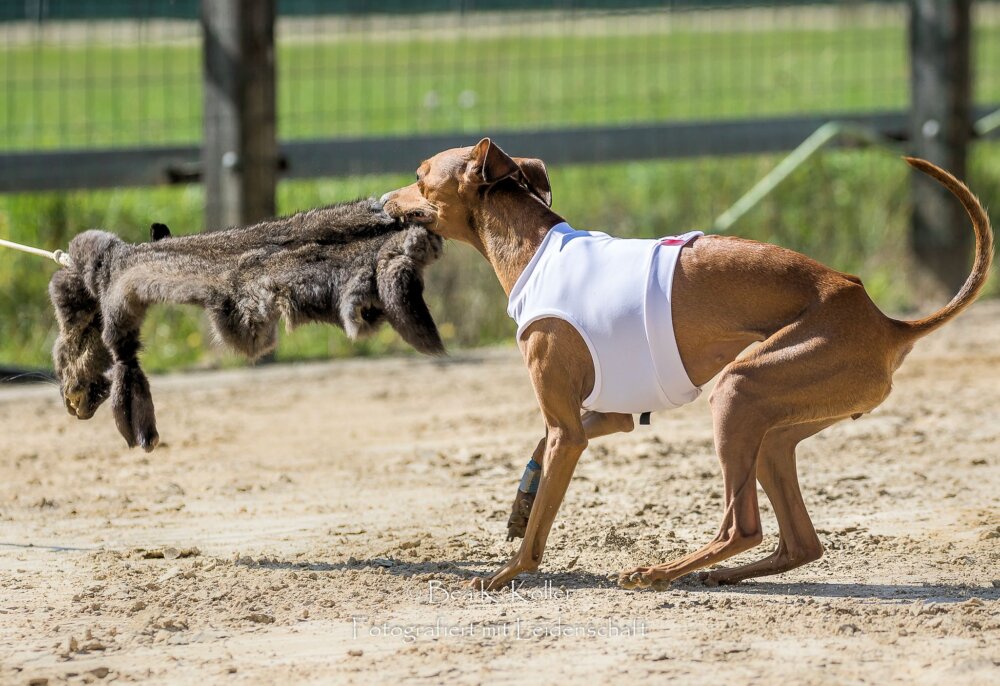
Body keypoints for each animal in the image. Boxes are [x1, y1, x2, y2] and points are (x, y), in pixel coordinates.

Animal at [376, 140, 992, 592]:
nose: (381, 200)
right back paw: (721, 576)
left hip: (738, 393)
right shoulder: (602, 417)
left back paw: (658, 572)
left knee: (742, 527)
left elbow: (540, 525)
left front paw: (505, 573)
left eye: (421, 174)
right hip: (773, 431)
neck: (532, 250)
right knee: (799, 542)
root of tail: (885, 320)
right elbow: (540, 464)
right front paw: (519, 507)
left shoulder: (568, 429)